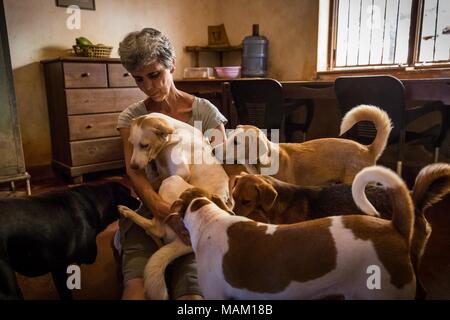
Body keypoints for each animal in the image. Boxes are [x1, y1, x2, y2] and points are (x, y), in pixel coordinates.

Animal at [0, 182, 139, 300]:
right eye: (128, 194)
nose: (139, 201)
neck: (93, 201)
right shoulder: (59, 268)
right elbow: (66, 294)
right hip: (9, 289)